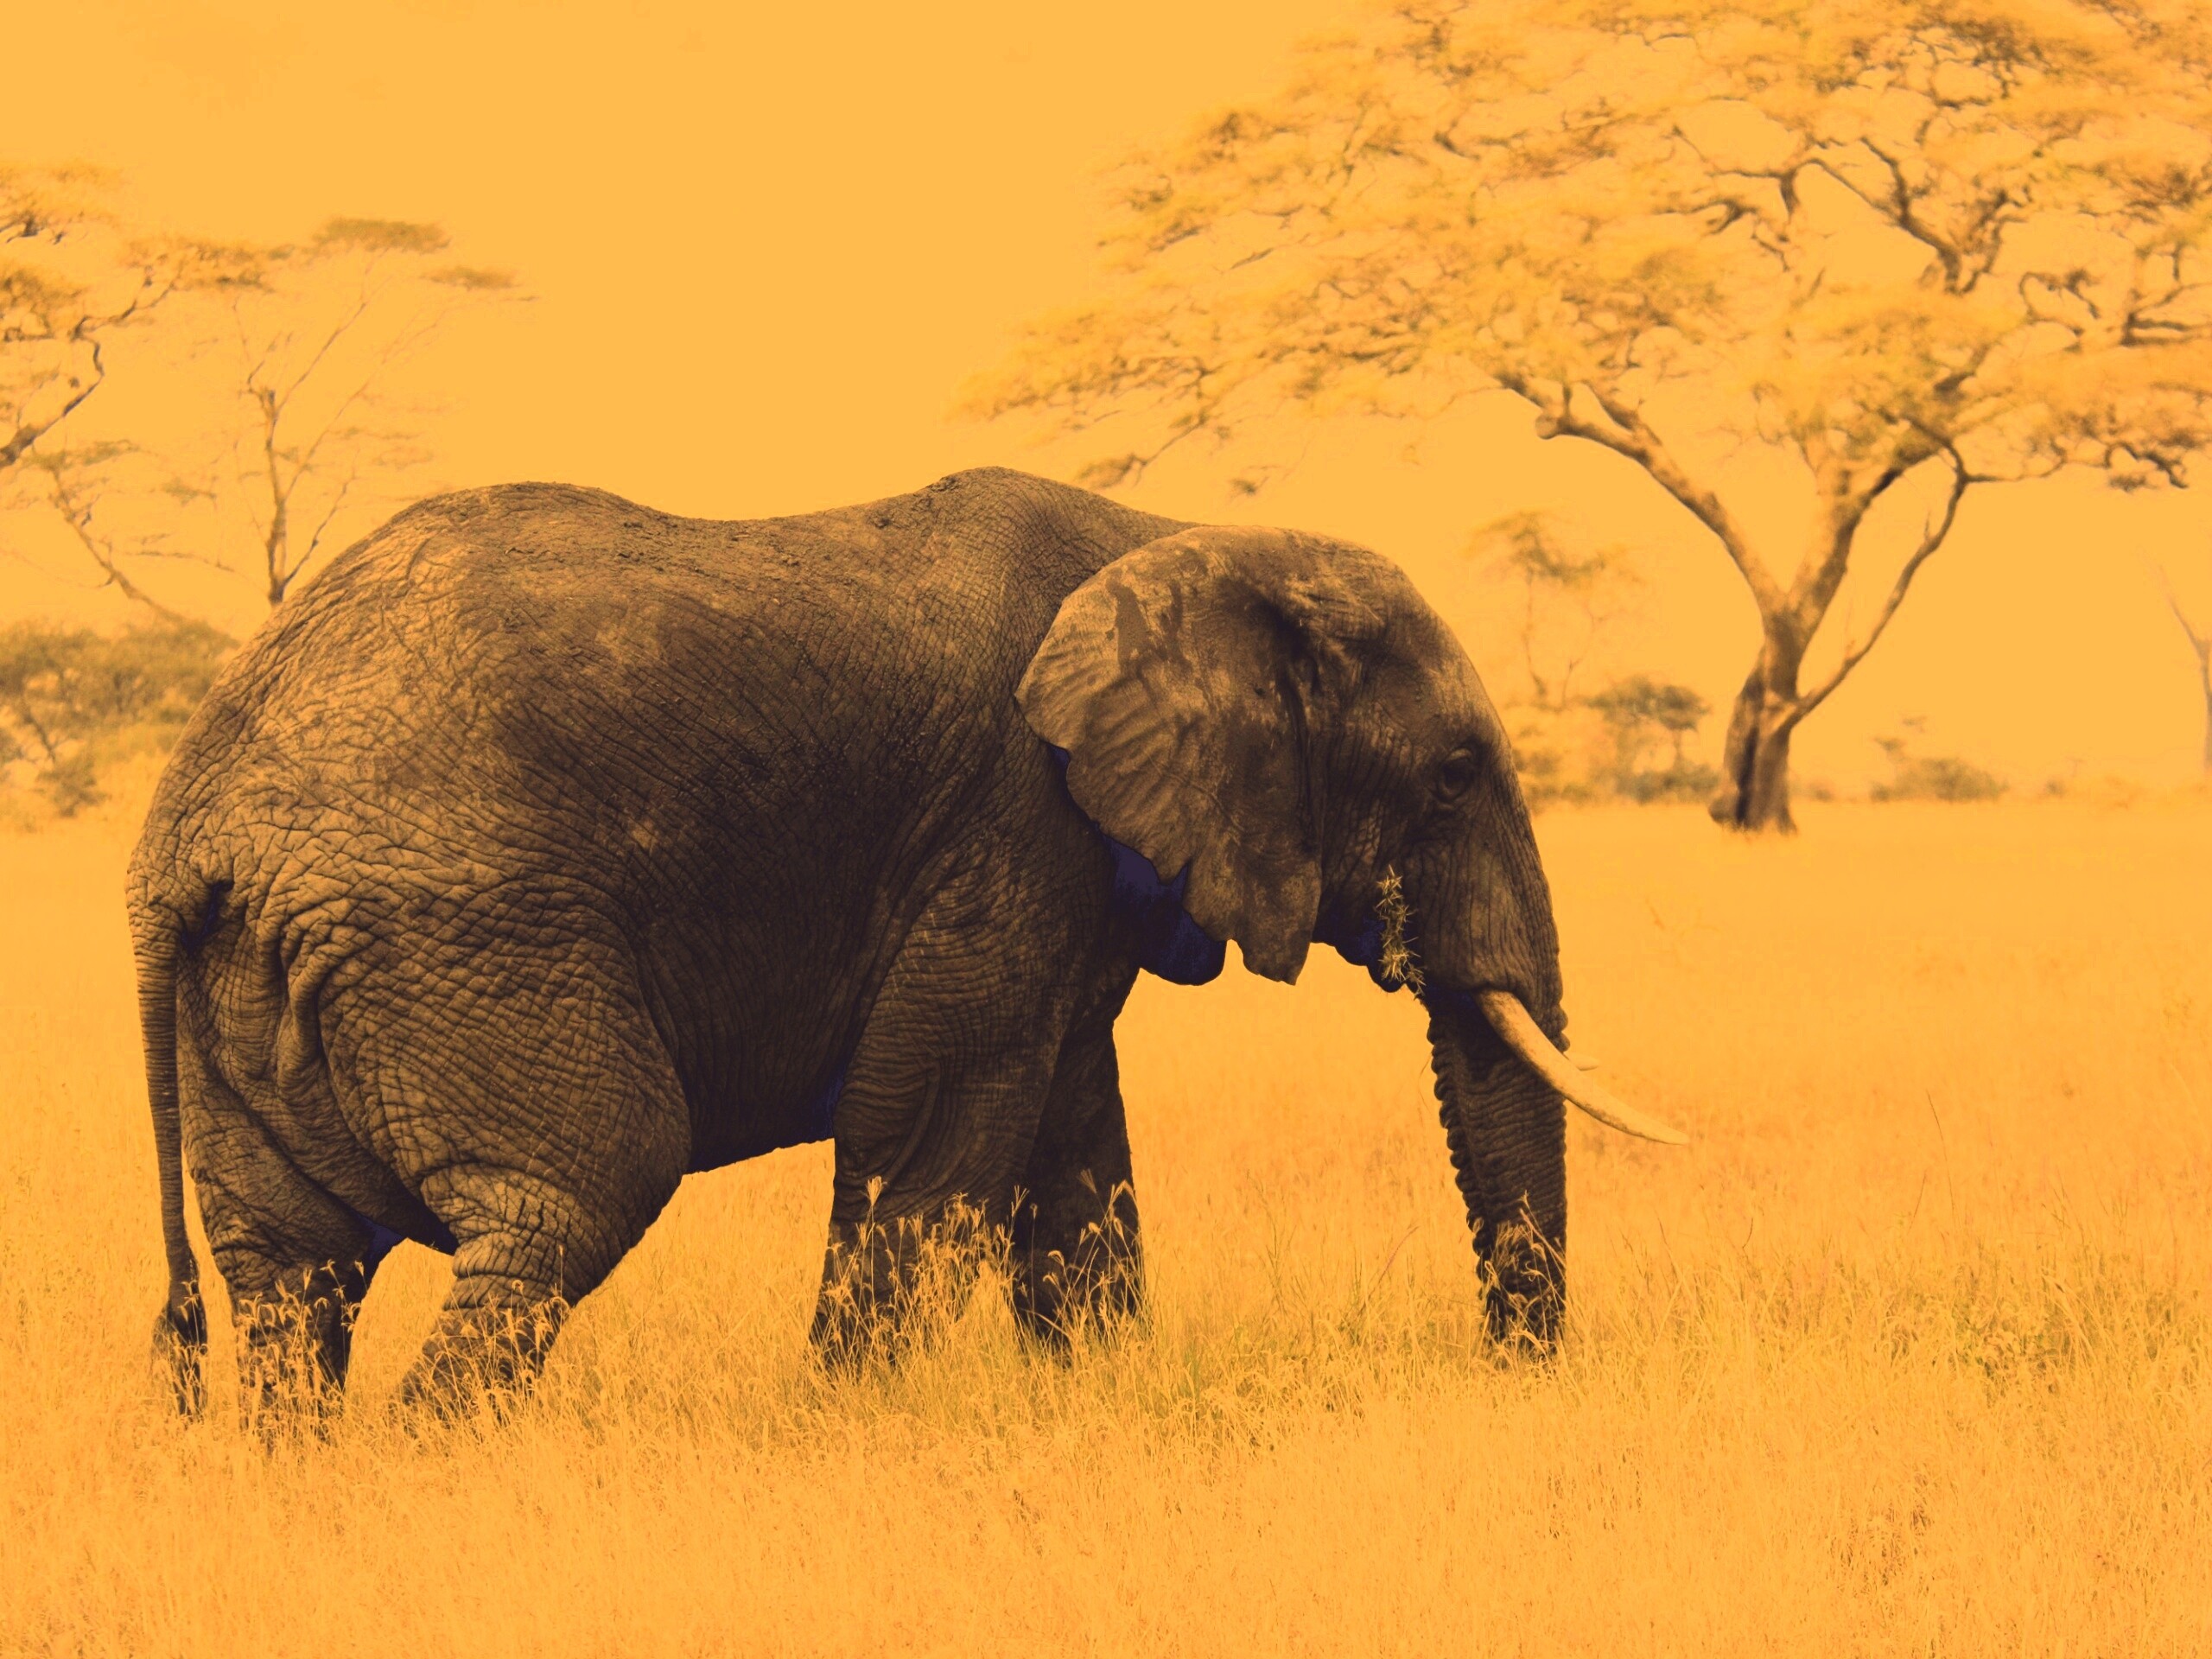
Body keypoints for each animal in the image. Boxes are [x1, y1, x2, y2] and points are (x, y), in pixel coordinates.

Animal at [129, 466, 1684, 1418]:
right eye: (1454, 775)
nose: (1509, 1377)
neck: (1176, 535)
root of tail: (185, 830)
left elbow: (1071, 1142)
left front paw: (1095, 1402)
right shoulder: (1010, 817)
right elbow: (936, 1122)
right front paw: (841, 1426)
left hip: (266, 977)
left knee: (291, 1274)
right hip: (460, 934)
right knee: (571, 1195)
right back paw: (430, 1469)